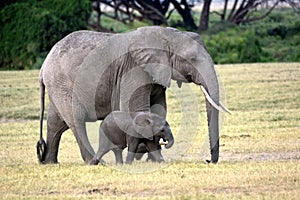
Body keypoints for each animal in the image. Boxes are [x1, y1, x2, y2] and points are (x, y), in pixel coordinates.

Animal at [36, 26, 231, 164]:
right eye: (192, 60)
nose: (208, 160)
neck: (166, 34)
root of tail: (43, 67)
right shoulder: (134, 70)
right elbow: (137, 107)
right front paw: (143, 151)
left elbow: (159, 108)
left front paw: (152, 157)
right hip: (62, 82)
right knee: (75, 119)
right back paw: (94, 161)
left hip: (58, 85)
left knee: (56, 122)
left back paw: (50, 162)